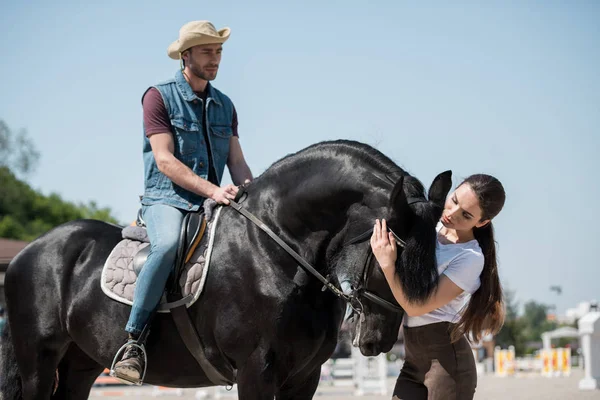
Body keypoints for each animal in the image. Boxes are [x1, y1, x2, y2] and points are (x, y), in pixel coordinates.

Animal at [0, 139, 450, 398]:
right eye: (389, 256)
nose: (379, 341)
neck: (276, 249)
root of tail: (30, 252)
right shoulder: (256, 369)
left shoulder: (304, 377)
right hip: (39, 360)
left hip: (80, 363)